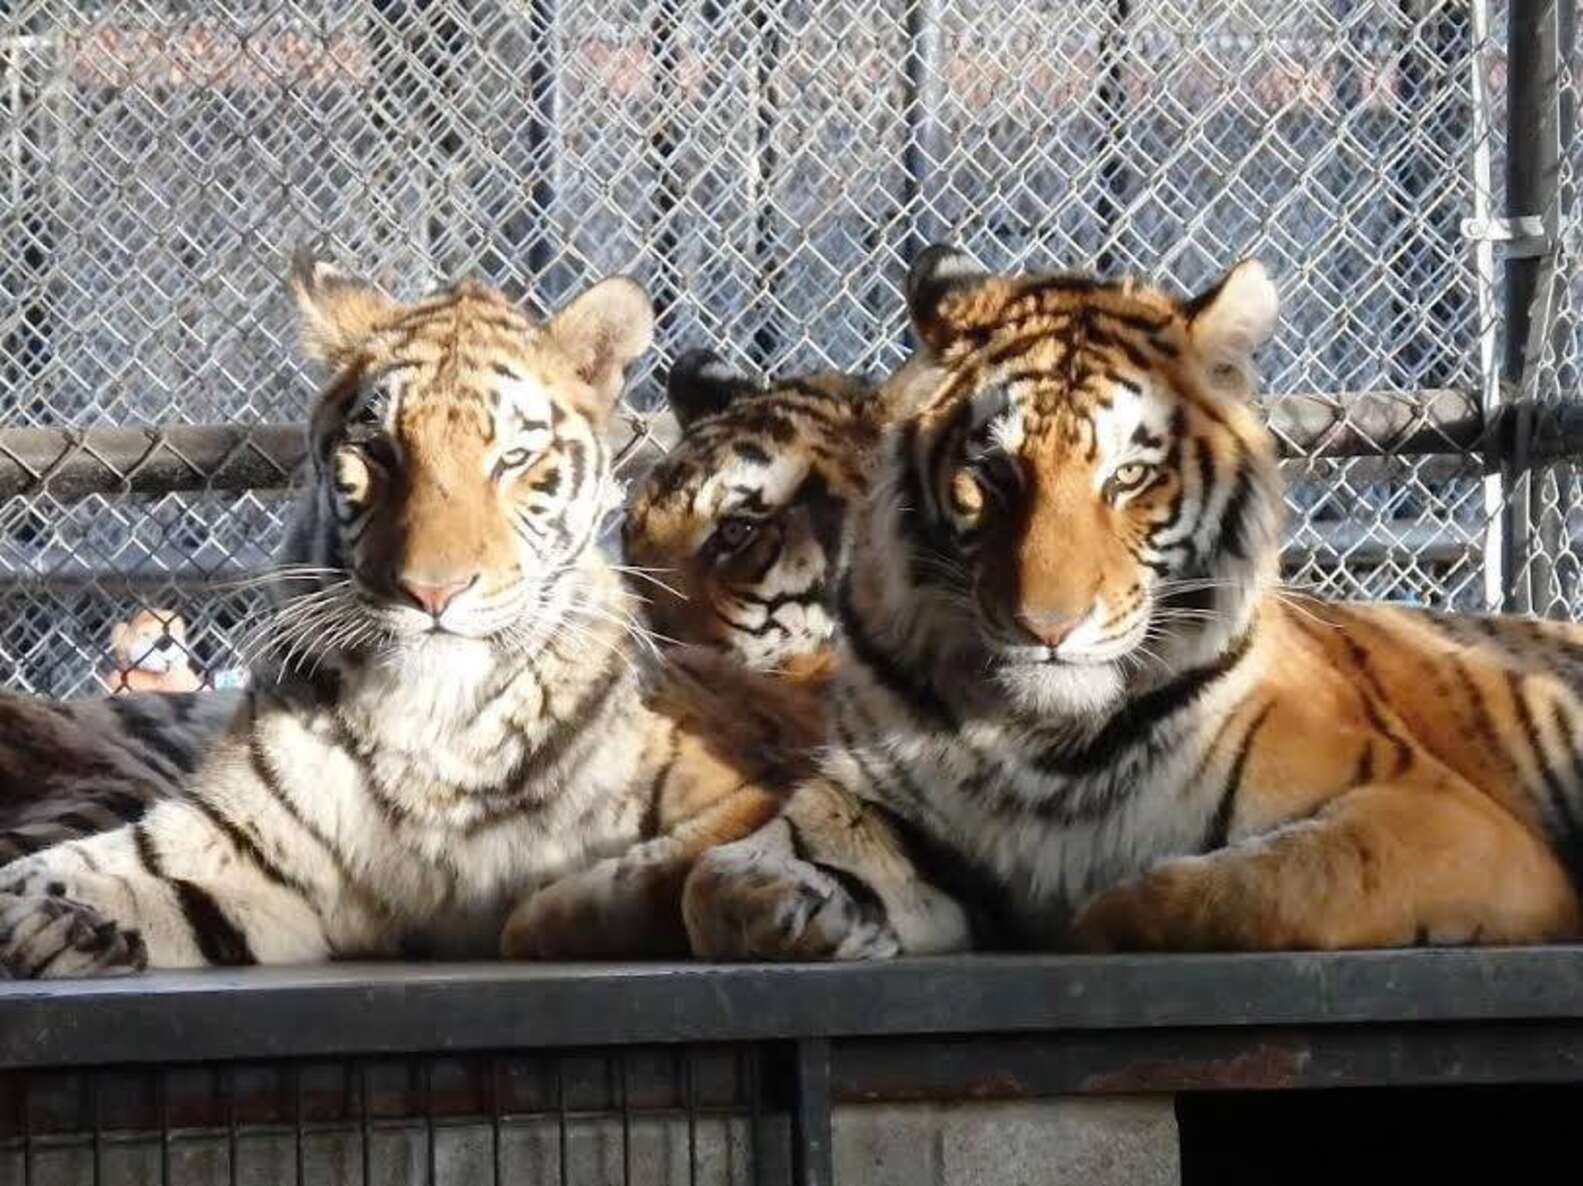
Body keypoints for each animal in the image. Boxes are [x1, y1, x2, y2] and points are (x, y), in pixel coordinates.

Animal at [0, 252, 812, 977]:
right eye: (380, 452)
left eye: (512, 461)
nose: (432, 593)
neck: (439, 722)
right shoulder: (238, 844)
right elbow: (94, 869)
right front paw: (52, 917)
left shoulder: (743, 791)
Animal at [681, 244, 1583, 960]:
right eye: (993, 475)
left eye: (1130, 478)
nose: (1046, 626)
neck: (1045, 738)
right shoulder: (879, 794)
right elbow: (728, 873)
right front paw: (799, 908)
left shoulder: (1437, 819)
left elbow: (1251, 889)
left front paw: (1090, 918)